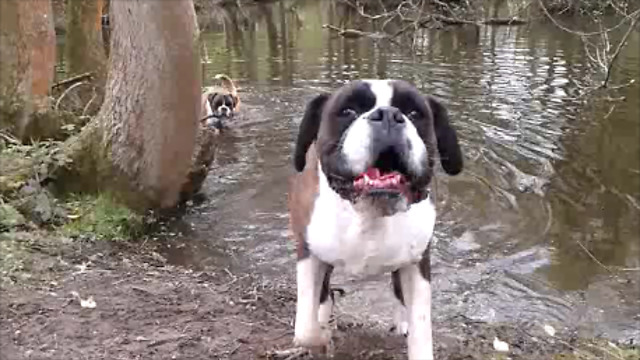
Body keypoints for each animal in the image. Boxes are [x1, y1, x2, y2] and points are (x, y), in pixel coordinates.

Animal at [288, 79, 462, 360]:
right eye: (348, 111)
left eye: (414, 113)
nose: (389, 115)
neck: (370, 214)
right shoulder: (309, 254)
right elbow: (305, 329)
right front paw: (322, 334)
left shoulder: (417, 263)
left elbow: (421, 325)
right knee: (322, 296)